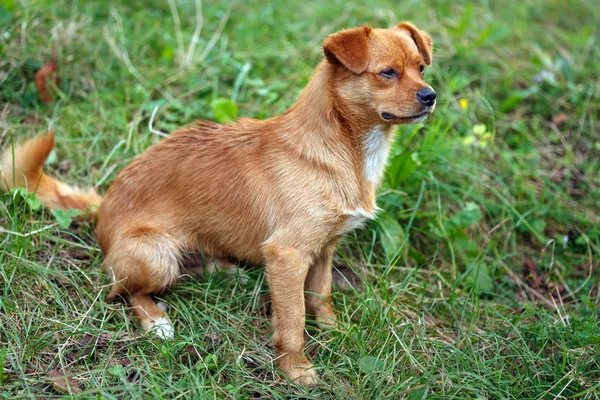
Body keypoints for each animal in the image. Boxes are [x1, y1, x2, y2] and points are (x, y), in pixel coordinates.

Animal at [3, 22, 436, 388]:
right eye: (387, 73)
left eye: (420, 68)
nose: (431, 96)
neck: (345, 151)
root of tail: (105, 204)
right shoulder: (288, 254)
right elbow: (293, 320)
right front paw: (297, 370)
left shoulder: (324, 249)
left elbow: (320, 296)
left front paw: (335, 330)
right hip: (156, 255)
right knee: (122, 293)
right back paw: (157, 321)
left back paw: (224, 271)